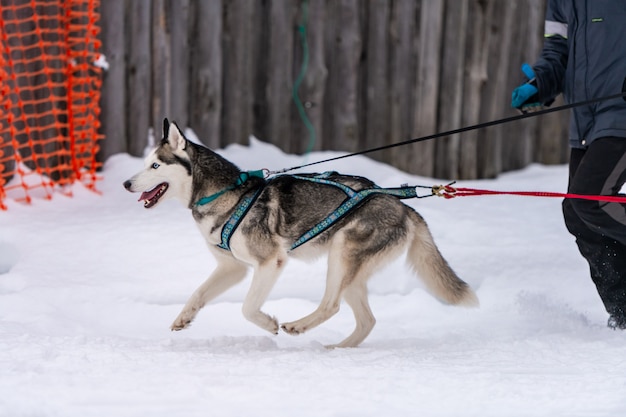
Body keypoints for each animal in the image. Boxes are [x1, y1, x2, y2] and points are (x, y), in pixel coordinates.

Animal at [122, 118, 476, 346]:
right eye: (145, 163)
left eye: (155, 166)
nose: (125, 183)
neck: (223, 194)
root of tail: (402, 204)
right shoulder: (232, 268)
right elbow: (198, 293)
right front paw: (184, 318)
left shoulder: (270, 262)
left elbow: (247, 307)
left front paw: (268, 324)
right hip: (352, 271)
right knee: (367, 320)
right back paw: (336, 350)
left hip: (342, 253)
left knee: (331, 305)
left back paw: (299, 326)